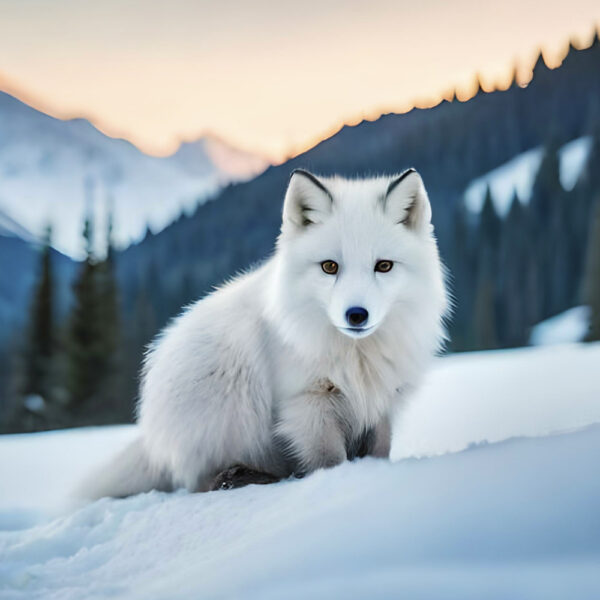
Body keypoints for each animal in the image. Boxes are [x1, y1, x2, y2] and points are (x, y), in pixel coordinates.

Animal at [83, 168, 446, 496]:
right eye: (330, 267)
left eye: (383, 266)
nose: (356, 315)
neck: (356, 358)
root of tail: (151, 436)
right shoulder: (308, 406)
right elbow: (330, 461)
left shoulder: (381, 404)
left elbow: (380, 453)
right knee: (201, 483)